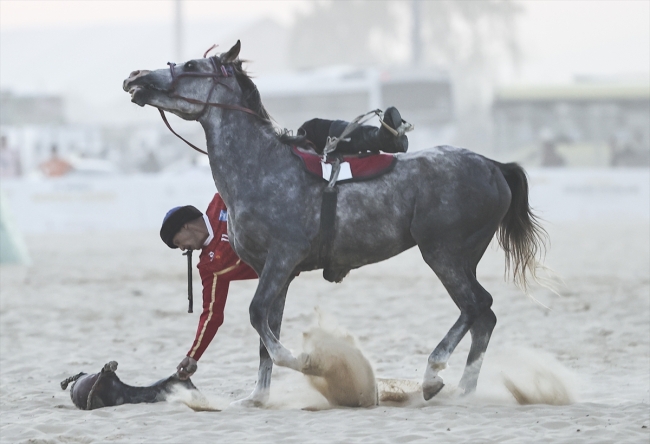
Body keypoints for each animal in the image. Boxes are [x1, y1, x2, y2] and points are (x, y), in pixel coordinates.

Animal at [123, 40, 548, 406]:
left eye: (191, 66)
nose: (135, 77)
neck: (263, 168)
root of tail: (493, 165)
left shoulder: (282, 258)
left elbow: (258, 316)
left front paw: (306, 362)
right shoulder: (274, 271)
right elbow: (265, 330)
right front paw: (258, 397)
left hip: (443, 253)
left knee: (477, 306)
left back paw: (434, 375)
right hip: (462, 257)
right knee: (483, 316)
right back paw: (464, 389)